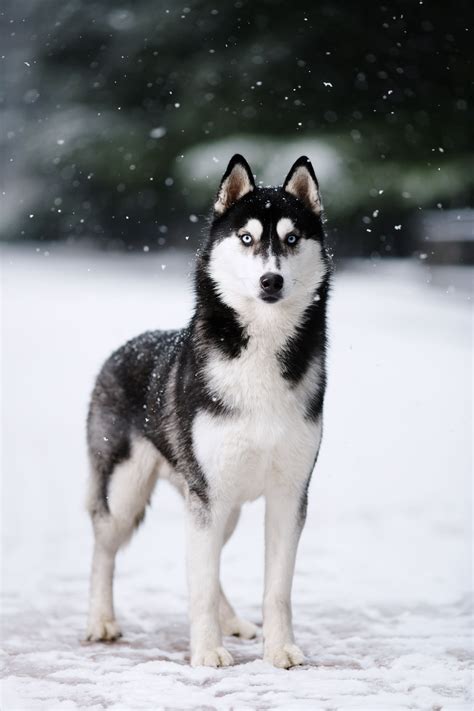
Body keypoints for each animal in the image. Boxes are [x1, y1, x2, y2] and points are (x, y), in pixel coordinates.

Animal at [85, 154, 330, 668]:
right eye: (247, 238)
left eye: (292, 238)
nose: (271, 280)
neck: (259, 352)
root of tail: (122, 348)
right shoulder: (209, 495)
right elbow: (197, 583)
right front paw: (206, 652)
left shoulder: (288, 495)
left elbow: (277, 589)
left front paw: (280, 649)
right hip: (128, 493)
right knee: (103, 548)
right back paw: (101, 620)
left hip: (222, 502)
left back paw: (233, 621)